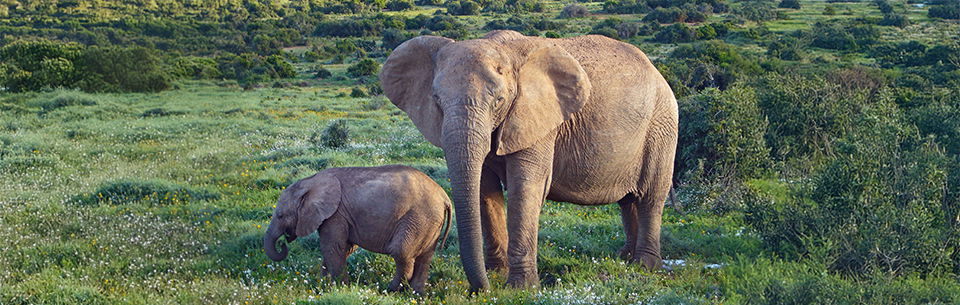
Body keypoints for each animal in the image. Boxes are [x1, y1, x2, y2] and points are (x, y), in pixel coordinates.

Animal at [264, 164, 452, 292]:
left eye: (280, 216)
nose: (283, 242)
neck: (310, 182)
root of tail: (444, 197)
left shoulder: (335, 215)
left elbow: (333, 247)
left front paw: (339, 288)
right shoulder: (342, 216)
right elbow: (344, 248)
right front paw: (323, 285)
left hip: (419, 218)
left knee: (401, 252)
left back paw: (388, 290)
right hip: (430, 222)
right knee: (425, 258)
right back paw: (415, 294)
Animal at [378, 30, 680, 290]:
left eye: (499, 100)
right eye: (437, 101)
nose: (480, 290)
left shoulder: (538, 120)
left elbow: (526, 188)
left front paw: (519, 287)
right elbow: (484, 190)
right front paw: (497, 274)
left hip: (662, 125)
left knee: (651, 196)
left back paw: (645, 265)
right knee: (628, 201)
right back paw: (625, 258)